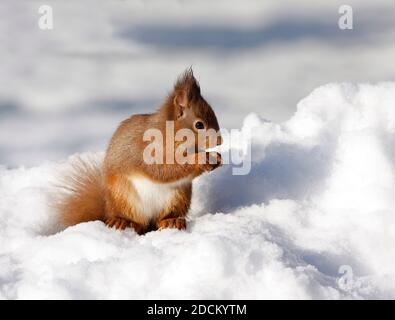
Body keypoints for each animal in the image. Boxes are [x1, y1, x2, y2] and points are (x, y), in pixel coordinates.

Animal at [56, 69, 223, 235]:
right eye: (199, 125)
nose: (220, 141)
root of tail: (108, 210)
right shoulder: (150, 152)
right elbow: (164, 170)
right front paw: (202, 159)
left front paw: (217, 158)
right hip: (124, 197)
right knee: (138, 222)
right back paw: (123, 222)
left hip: (178, 197)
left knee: (158, 220)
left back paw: (170, 221)